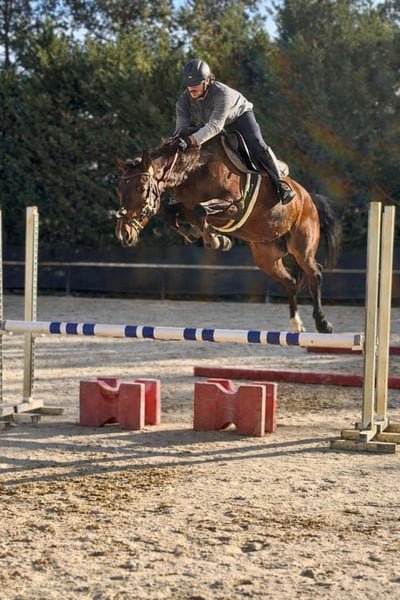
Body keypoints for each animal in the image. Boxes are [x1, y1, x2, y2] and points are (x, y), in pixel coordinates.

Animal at [115, 134, 341, 333]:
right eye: (119, 189)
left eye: (141, 188)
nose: (123, 234)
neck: (194, 170)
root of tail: (308, 198)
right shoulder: (187, 208)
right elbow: (172, 213)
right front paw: (199, 235)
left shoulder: (233, 206)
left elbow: (201, 211)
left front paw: (217, 240)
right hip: (266, 257)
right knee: (291, 282)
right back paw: (296, 324)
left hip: (301, 248)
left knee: (315, 274)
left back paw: (323, 324)